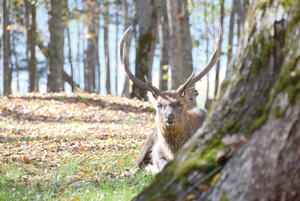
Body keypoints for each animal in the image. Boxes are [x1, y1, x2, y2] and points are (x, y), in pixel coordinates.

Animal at [119, 19, 223, 173]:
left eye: (180, 104)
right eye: (158, 105)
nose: (169, 117)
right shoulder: (157, 151)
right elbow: (161, 164)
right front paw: (153, 168)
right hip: (149, 141)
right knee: (133, 167)